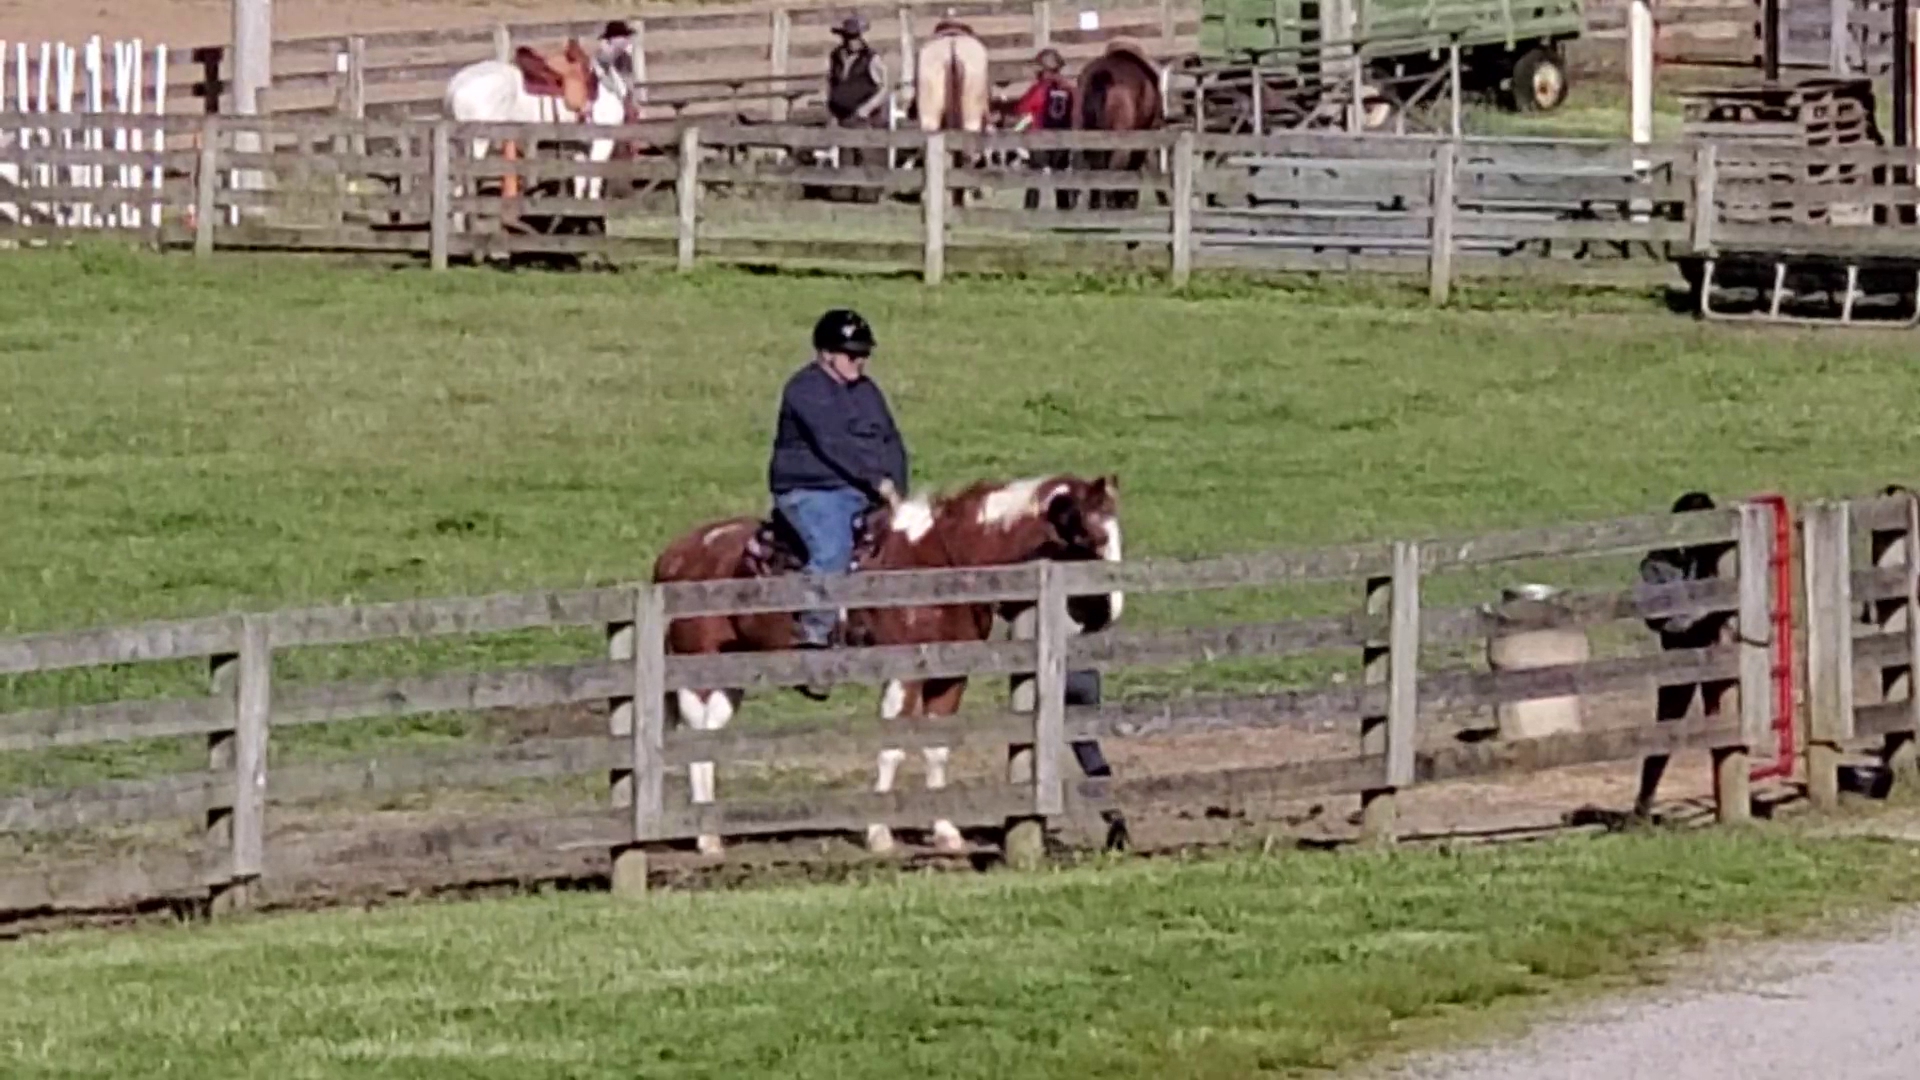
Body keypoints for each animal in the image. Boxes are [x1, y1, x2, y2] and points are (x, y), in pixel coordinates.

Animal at [443, 40, 625, 228]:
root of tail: (457, 85)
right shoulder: (602, 143)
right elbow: (594, 181)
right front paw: (595, 218)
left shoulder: (579, 144)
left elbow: (580, 181)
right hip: (477, 141)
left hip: (459, 144)